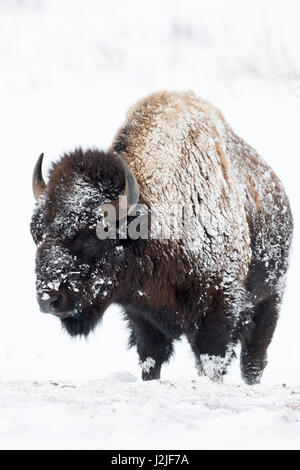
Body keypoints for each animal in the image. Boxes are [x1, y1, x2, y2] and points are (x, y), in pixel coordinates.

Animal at [30, 90, 292, 384]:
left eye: (89, 236)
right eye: (36, 234)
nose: (49, 299)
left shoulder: (219, 308)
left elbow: (213, 359)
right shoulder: (142, 317)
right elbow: (151, 361)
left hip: (270, 301)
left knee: (253, 360)